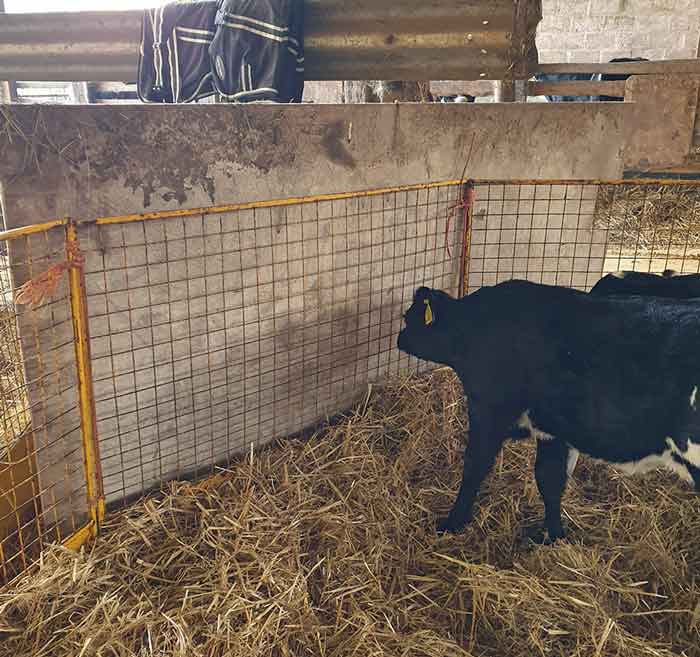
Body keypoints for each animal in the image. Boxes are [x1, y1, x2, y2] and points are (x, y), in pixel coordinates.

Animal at [396, 280, 700, 540]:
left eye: (409, 316)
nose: (399, 338)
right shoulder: (553, 428)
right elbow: (550, 480)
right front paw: (553, 536)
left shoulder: (489, 410)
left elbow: (474, 467)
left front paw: (451, 523)